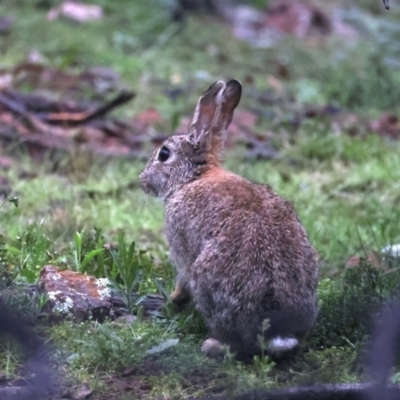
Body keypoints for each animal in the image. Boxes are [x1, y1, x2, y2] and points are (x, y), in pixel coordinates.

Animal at [139, 79, 320, 360]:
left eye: (164, 154)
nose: (142, 180)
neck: (194, 178)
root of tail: (276, 332)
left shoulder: (181, 245)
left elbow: (182, 277)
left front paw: (171, 300)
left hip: (208, 281)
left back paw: (212, 345)